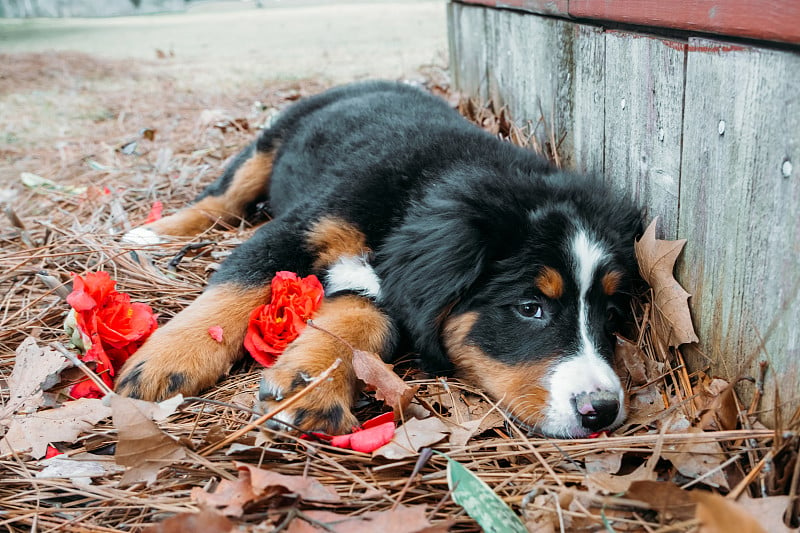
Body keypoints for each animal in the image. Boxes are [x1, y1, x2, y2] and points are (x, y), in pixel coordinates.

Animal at [119, 80, 644, 436]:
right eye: (530, 308)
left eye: (611, 314)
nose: (602, 410)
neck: (427, 185)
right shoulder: (297, 228)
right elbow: (236, 285)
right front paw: (166, 362)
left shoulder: (394, 285)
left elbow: (356, 323)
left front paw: (310, 381)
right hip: (267, 145)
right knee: (220, 197)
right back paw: (153, 233)